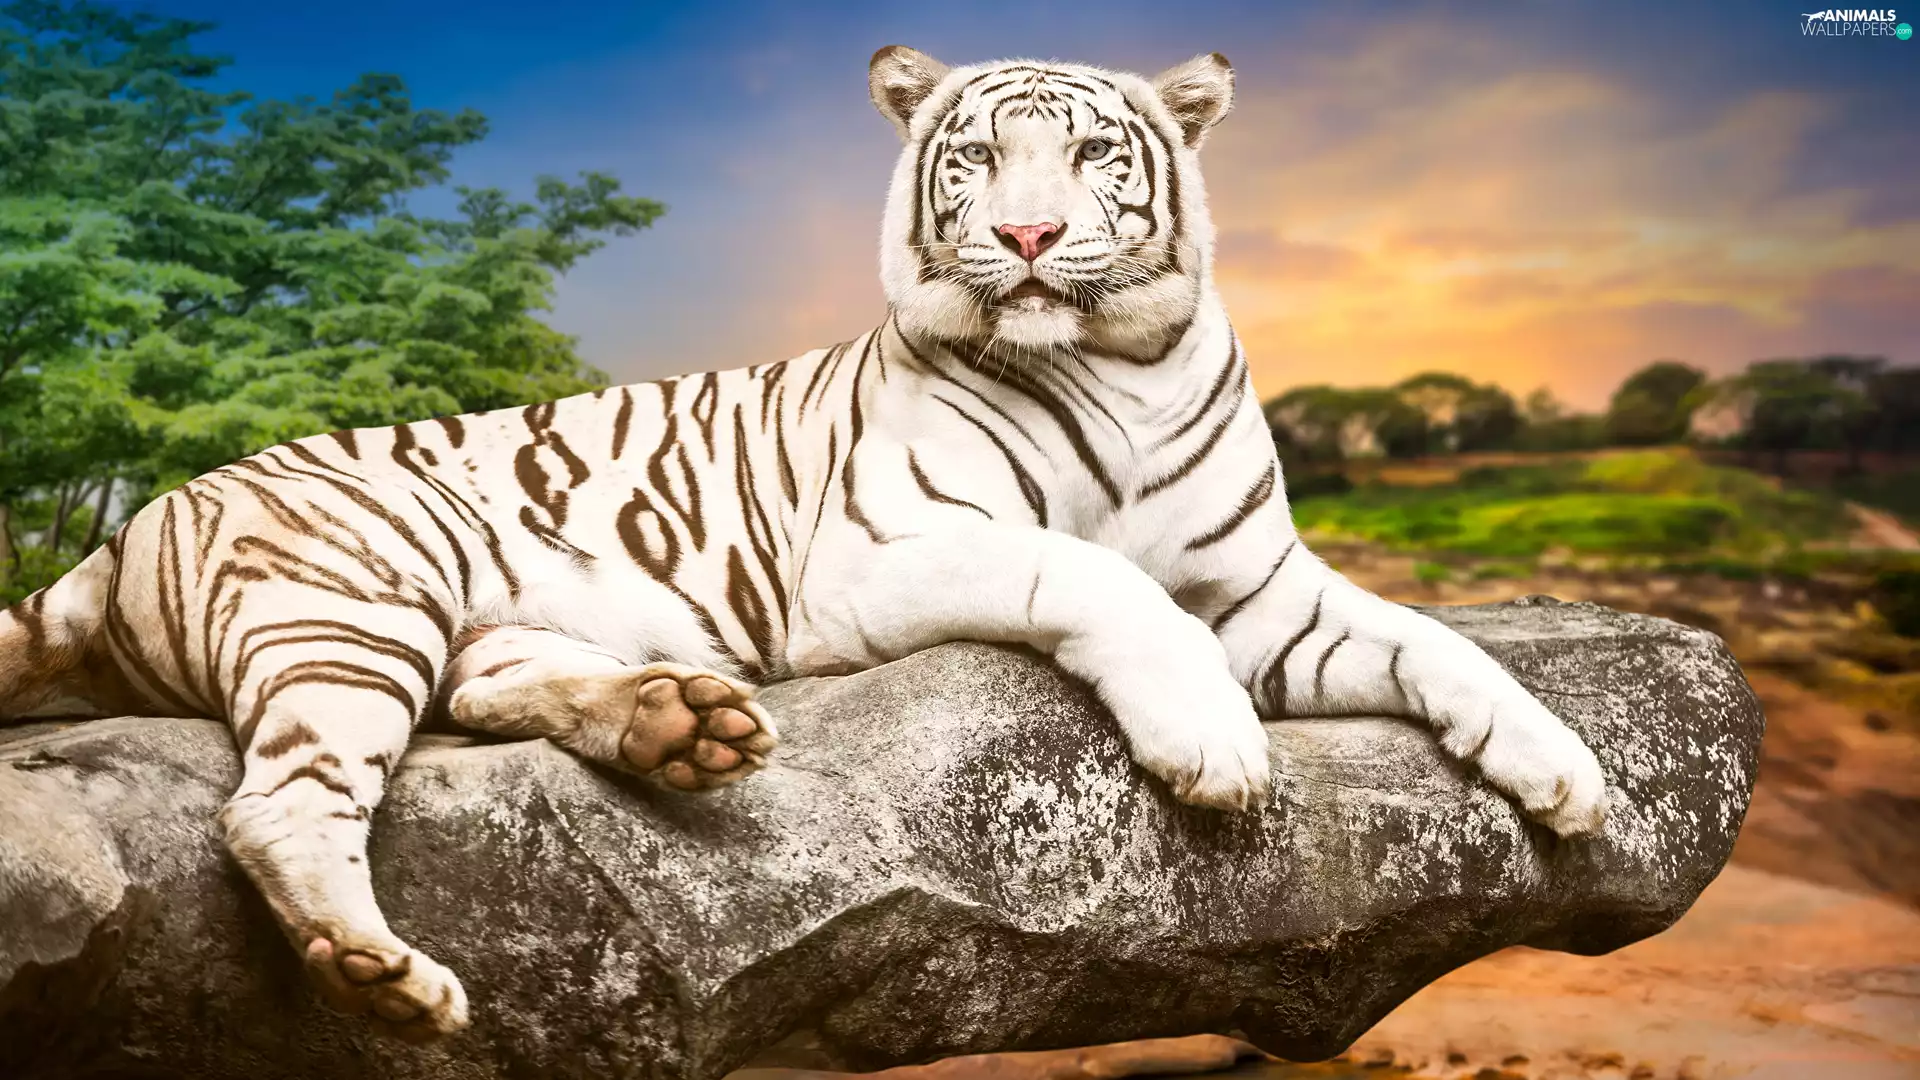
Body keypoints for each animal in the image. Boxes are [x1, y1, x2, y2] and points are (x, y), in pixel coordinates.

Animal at [0, 47, 1608, 1041]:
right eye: (976, 161)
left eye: (1093, 152)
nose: (1029, 239)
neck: (1125, 362)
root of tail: (143, 515)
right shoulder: (890, 551)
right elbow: (1093, 572)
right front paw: (1213, 746)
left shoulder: (1266, 593)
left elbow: (1439, 644)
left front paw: (1571, 778)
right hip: (356, 601)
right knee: (278, 807)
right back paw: (386, 975)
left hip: (458, 625)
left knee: (486, 686)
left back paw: (679, 726)